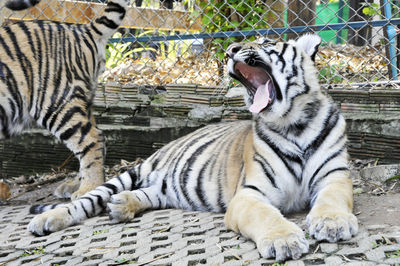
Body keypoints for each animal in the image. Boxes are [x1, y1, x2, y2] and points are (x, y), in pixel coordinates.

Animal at [0, 0, 128, 197]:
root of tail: (84, 30)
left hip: (55, 102)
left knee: (92, 139)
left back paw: (88, 189)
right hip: (82, 101)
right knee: (95, 137)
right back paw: (75, 185)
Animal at [28, 34, 360, 260]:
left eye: (267, 41)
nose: (231, 50)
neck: (294, 124)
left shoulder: (335, 176)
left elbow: (332, 200)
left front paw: (333, 224)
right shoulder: (250, 194)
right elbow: (266, 216)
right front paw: (285, 240)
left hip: (164, 189)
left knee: (147, 194)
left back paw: (121, 205)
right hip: (130, 173)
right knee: (83, 201)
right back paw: (45, 220)